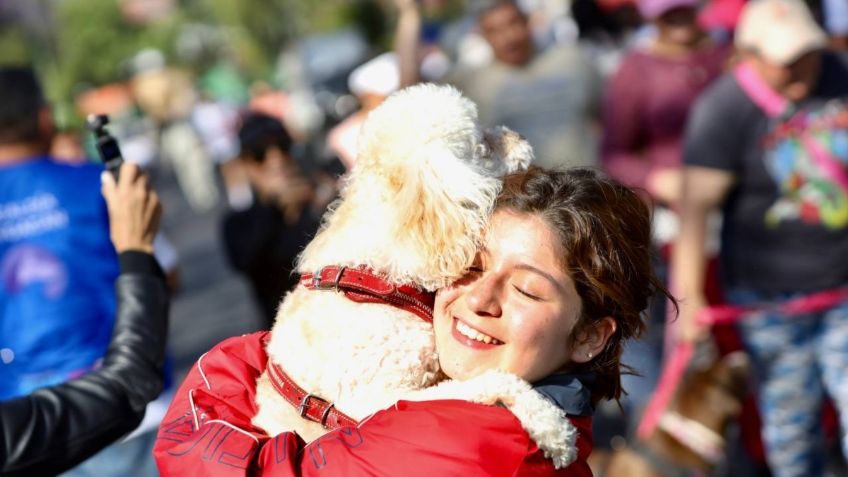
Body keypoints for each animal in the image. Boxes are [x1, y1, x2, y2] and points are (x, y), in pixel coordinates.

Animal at [252, 83, 528, 440]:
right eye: (482, 142)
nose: (520, 138)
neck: (373, 275)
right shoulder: (372, 400)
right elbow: (476, 385)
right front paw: (553, 427)